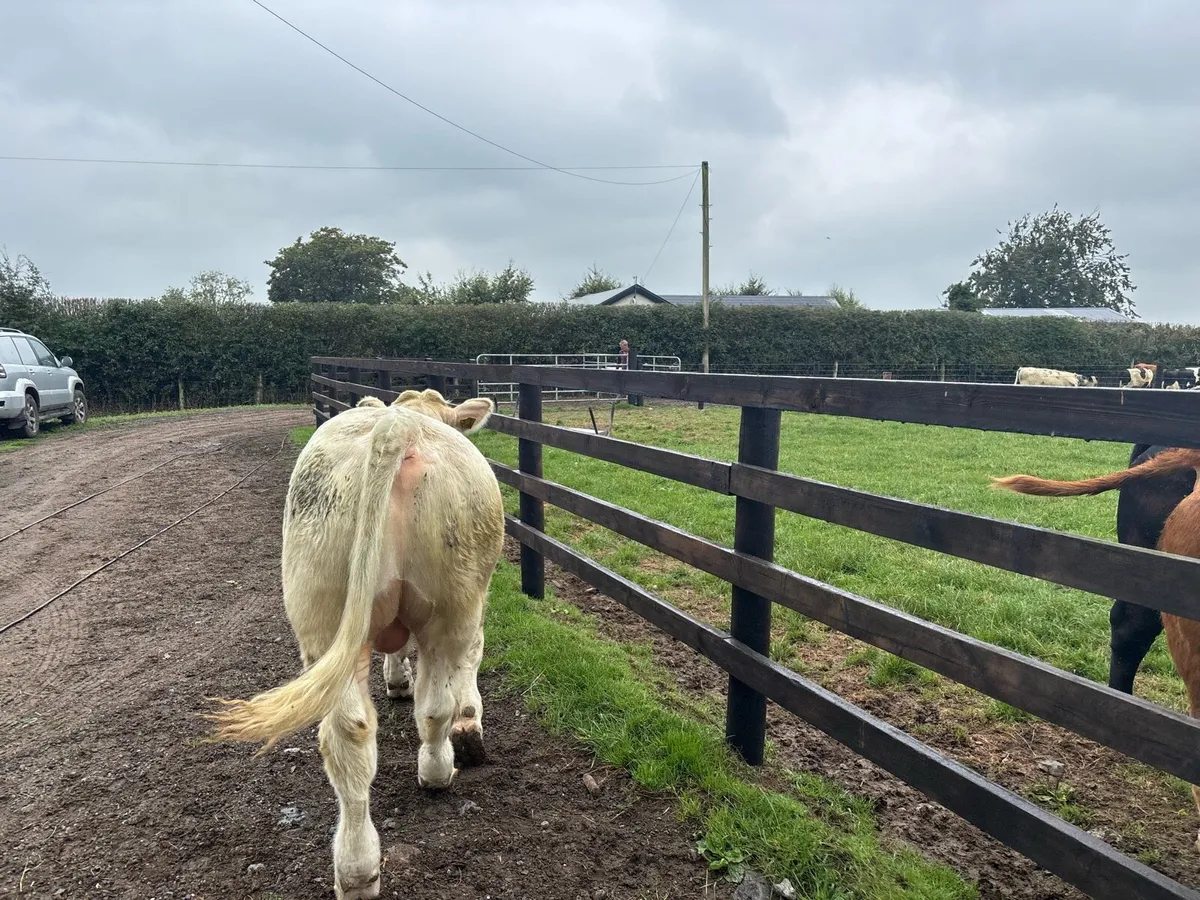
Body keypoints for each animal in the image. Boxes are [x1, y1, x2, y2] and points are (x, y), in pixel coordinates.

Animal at [207, 388, 504, 899]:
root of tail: (398, 426)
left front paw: (401, 683)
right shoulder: (475, 614)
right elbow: (467, 673)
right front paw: (466, 724)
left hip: (325, 608)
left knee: (351, 733)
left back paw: (356, 870)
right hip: (455, 605)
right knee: (433, 707)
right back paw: (436, 773)